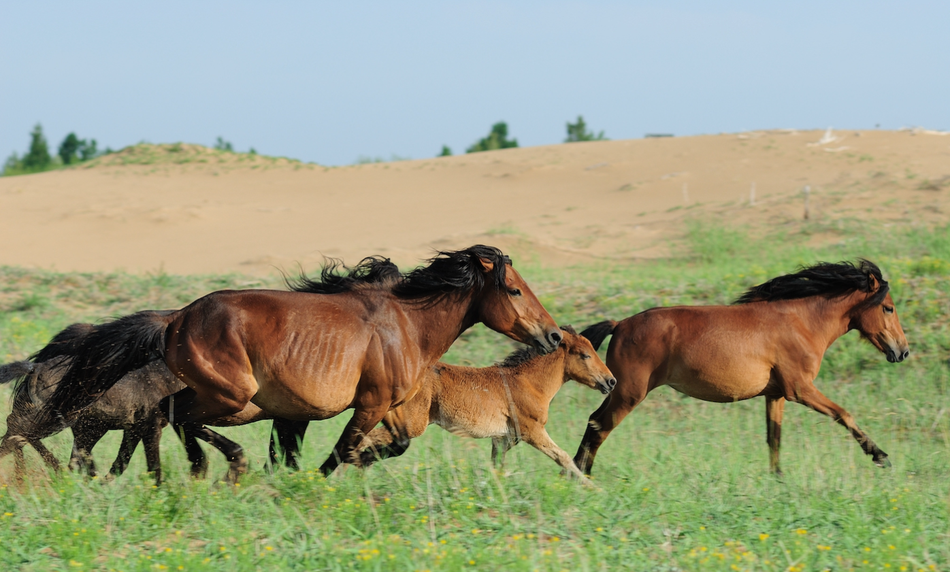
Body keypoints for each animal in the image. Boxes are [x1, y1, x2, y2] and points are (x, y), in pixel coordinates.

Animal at [27, 245, 564, 478]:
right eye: (515, 290)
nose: (554, 335)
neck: (406, 324)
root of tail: (176, 317)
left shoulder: (390, 407)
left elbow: (394, 446)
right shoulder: (369, 405)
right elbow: (340, 453)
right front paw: (305, 485)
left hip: (227, 396)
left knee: (162, 415)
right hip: (234, 396)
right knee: (172, 415)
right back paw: (219, 466)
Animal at [356, 326, 616, 478]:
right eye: (585, 355)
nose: (611, 381)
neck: (529, 382)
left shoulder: (504, 437)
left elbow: (497, 466)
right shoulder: (532, 431)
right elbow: (562, 456)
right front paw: (591, 488)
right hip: (413, 424)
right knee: (366, 439)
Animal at [576, 262, 912, 476]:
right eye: (888, 308)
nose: (903, 351)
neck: (802, 323)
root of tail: (620, 324)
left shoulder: (776, 395)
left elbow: (774, 437)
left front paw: (778, 478)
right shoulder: (800, 389)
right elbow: (844, 414)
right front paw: (881, 457)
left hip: (618, 390)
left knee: (593, 421)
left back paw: (578, 473)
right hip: (629, 393)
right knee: (600, 426)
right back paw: (582, 474)